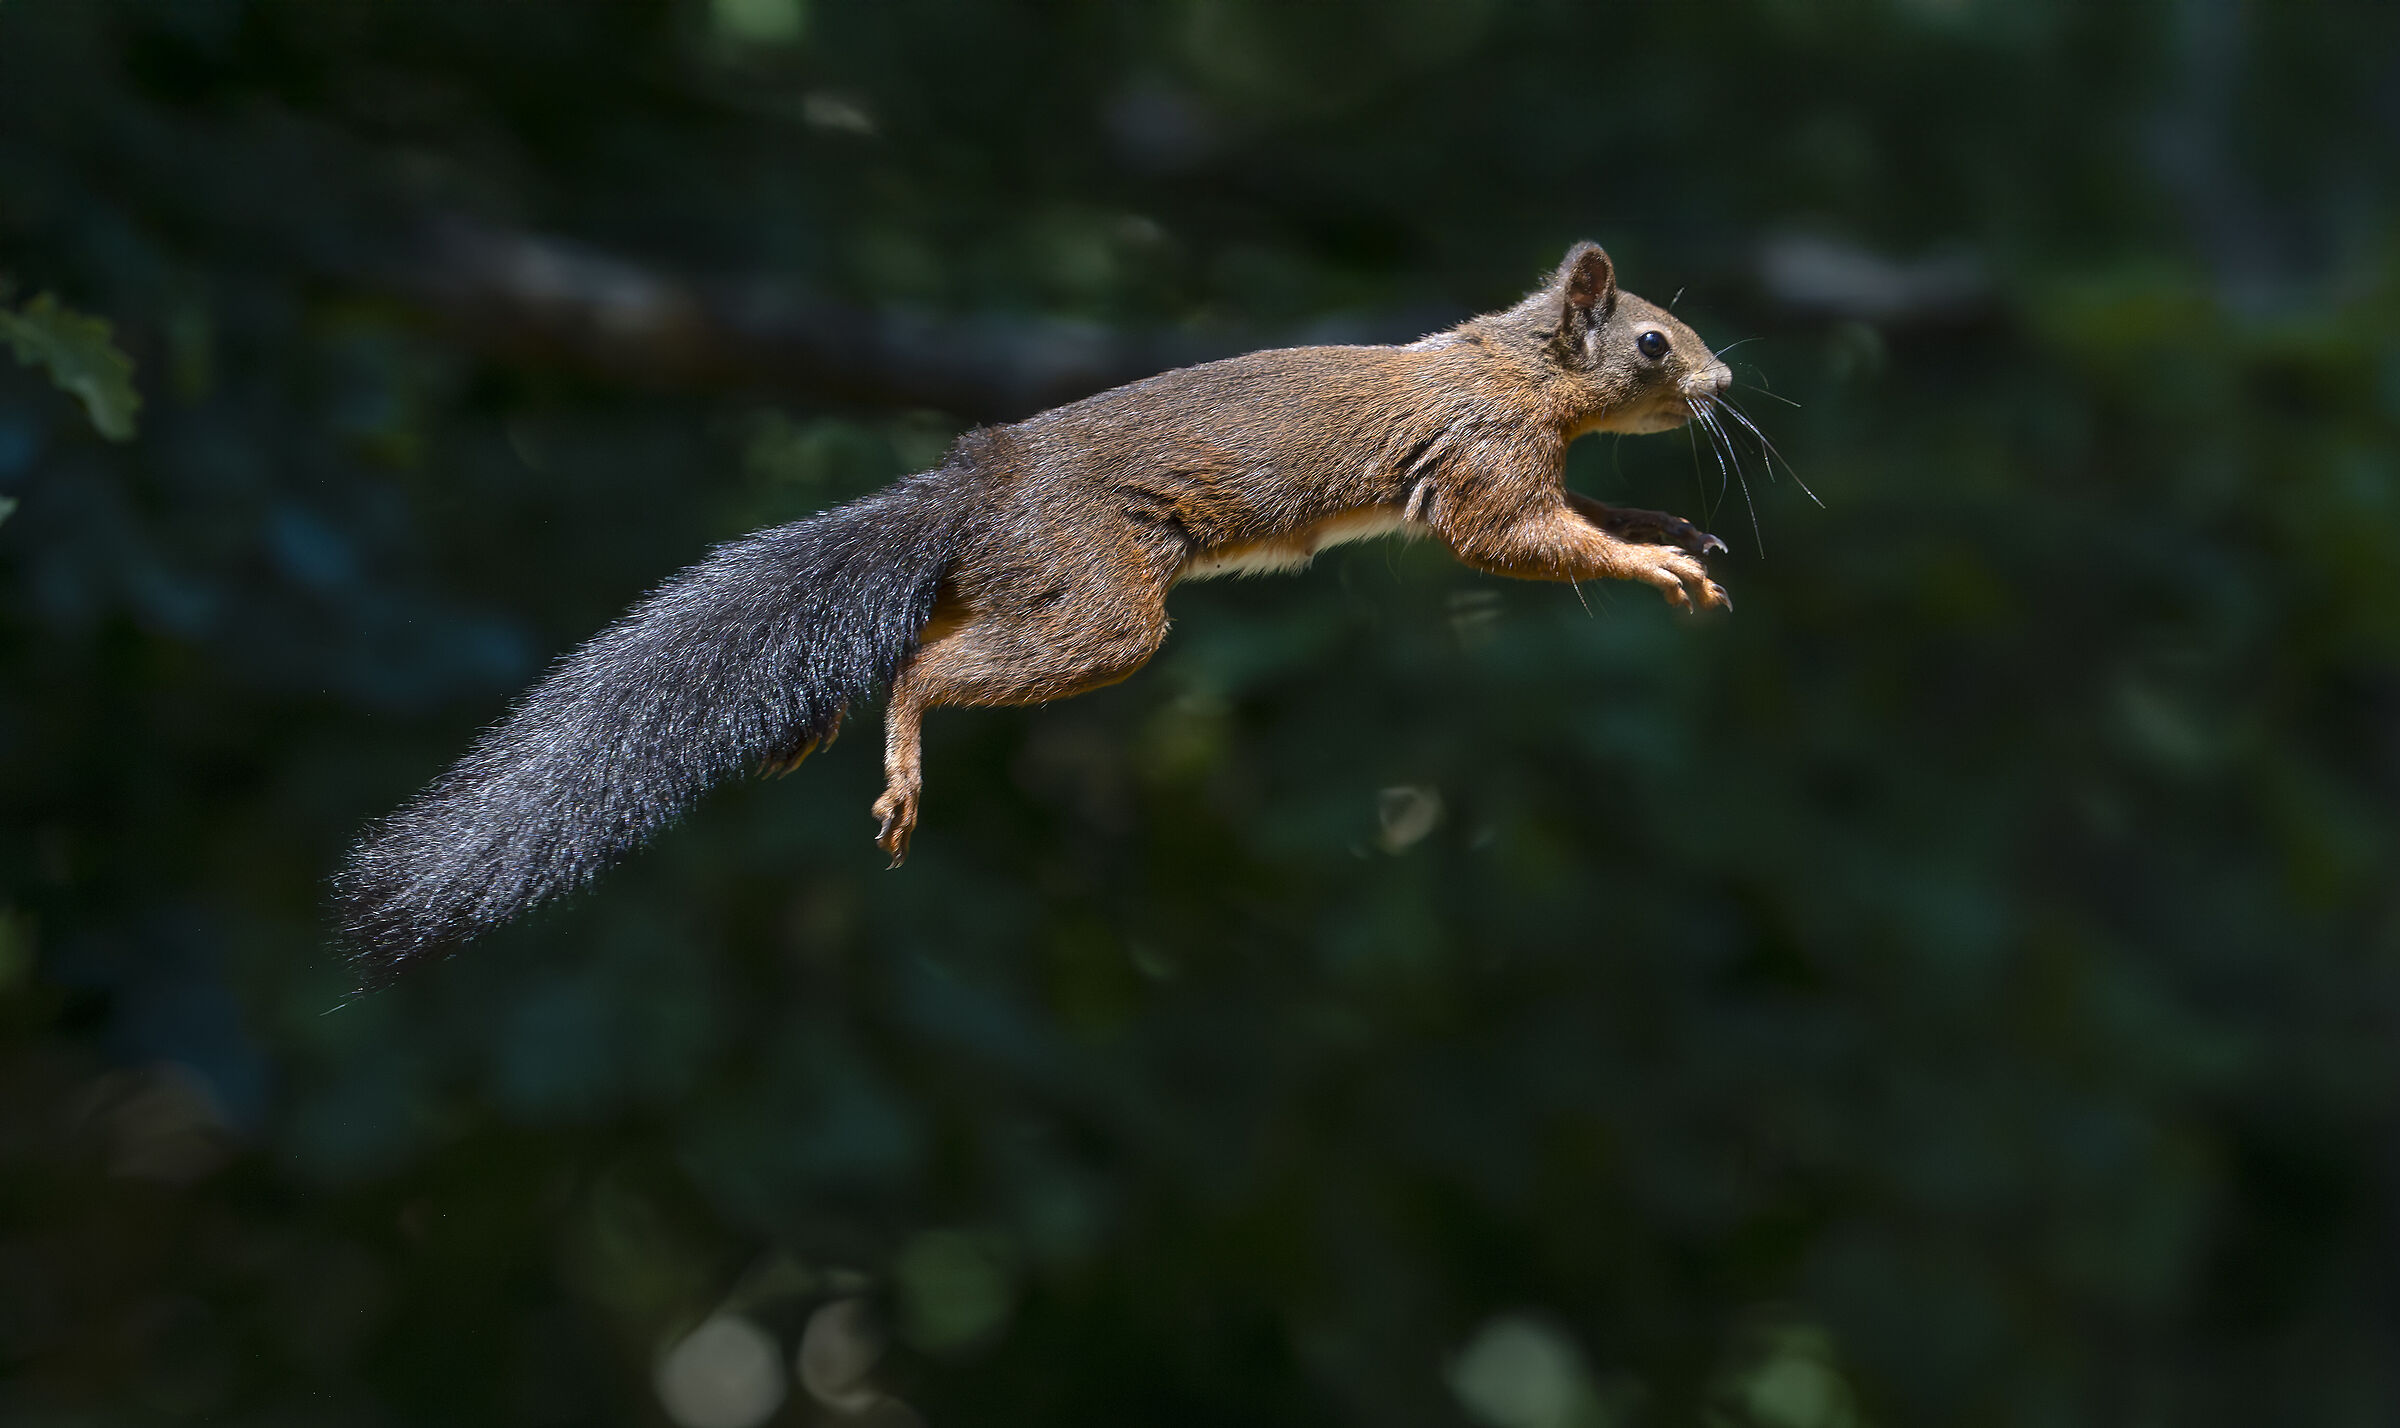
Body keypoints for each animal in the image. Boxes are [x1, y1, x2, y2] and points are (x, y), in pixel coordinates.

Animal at [334, 242, 1737, 976]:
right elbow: (1515, 537)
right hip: (1101, 599)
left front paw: (1676, 535)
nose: (1723, 379)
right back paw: (899, 753)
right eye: (1652, 341)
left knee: (929, 633)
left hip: (1023, 582)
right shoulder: (1488, 456)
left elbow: (1584, 515)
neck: (1520, 366)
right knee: (933, 667)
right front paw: (1656, 566)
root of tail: (975, 488)